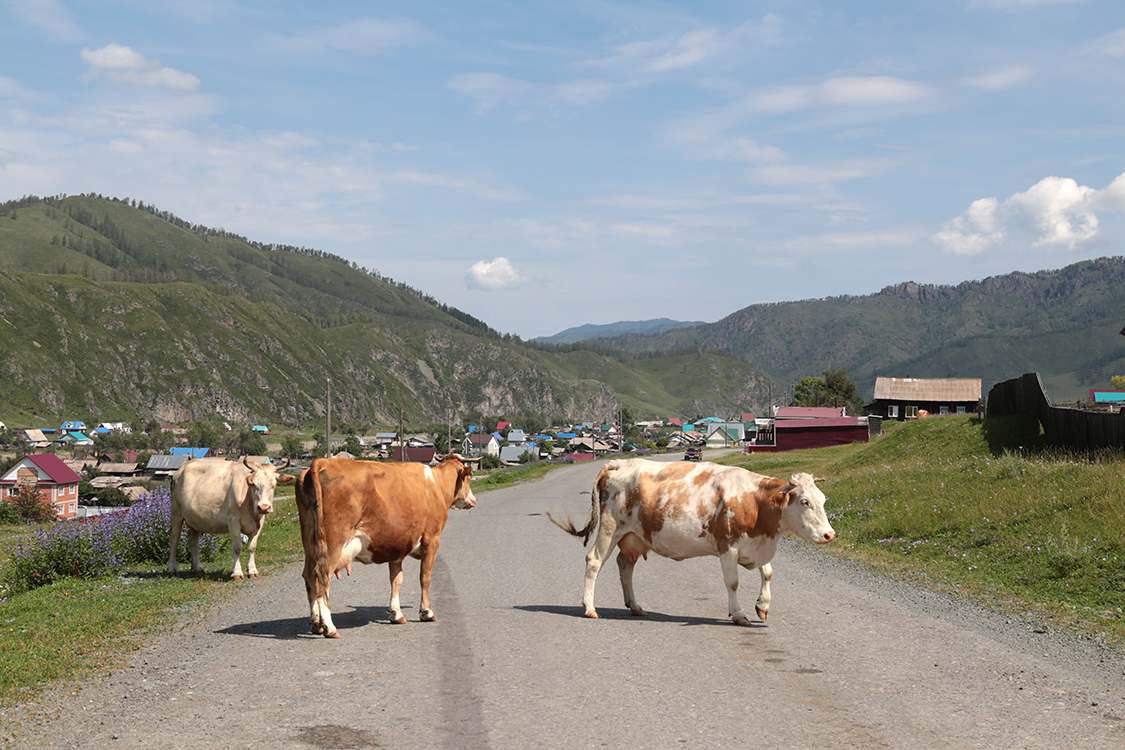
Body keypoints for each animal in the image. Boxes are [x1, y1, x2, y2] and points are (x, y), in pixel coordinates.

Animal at [294, 452, 474, 638]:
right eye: (470, 477)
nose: (473, 500)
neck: (437, 485)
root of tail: (323, 462)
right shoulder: (432, 539)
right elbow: (425, 577)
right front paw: (426, 612)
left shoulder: (397, 546)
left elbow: (396, 579)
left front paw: (396, 614)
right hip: (333, 542)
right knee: (323, 576)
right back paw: (329, 627)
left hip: (310, 542)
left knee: (309, 575)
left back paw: (316, 624)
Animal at [549, 461, 832, 625]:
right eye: (805, 501)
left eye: (823, 500)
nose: (830, 534)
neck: (754, 502)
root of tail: (617, 463)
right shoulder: (727, 547)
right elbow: (733, 582)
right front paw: (739, 614)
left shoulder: (755, 545)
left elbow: (768, 572)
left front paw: (762, 606)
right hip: (610, 528)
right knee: (594, 561)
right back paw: (589, 608)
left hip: (634, 535)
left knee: (625, 566)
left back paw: (636, 606)